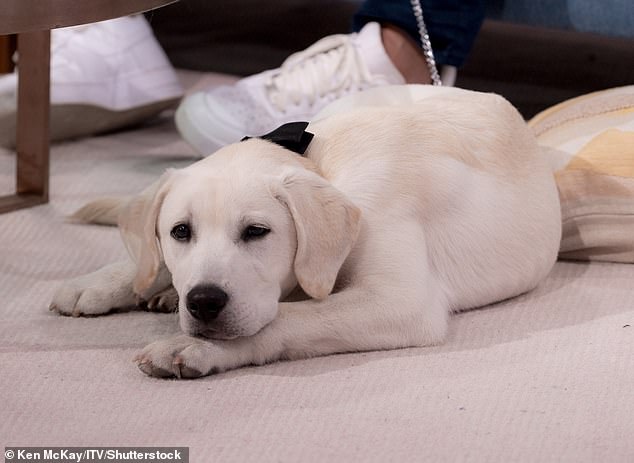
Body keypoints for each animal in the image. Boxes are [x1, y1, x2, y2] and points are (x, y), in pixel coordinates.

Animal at [50, 85, 564, 378]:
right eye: (179, 232)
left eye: (257, 232)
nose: (203, 302)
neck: (320, 164)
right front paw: (108, 281)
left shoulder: (400, 302)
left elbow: (289, 318)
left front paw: (195, 347)